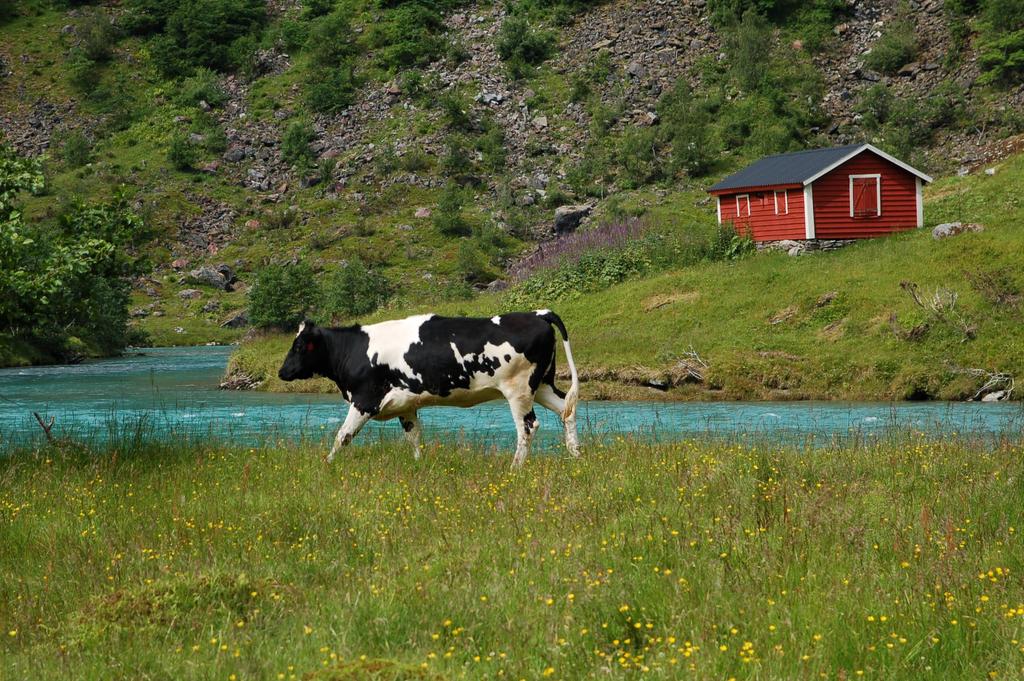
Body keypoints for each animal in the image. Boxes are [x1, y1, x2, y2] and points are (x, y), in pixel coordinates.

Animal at [280, 309, 581, 464]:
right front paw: (419, 463)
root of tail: (537, 313)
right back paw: (576, 456)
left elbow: (343, 436)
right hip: (541, 385)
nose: (282, 372)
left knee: (528, 426)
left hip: (518, 389)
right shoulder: (405, 406)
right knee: (566, 411)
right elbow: (414, 437)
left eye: (299, 346)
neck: (354, 350)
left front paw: (327, 464)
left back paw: (515, 467)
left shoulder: (365, 400)